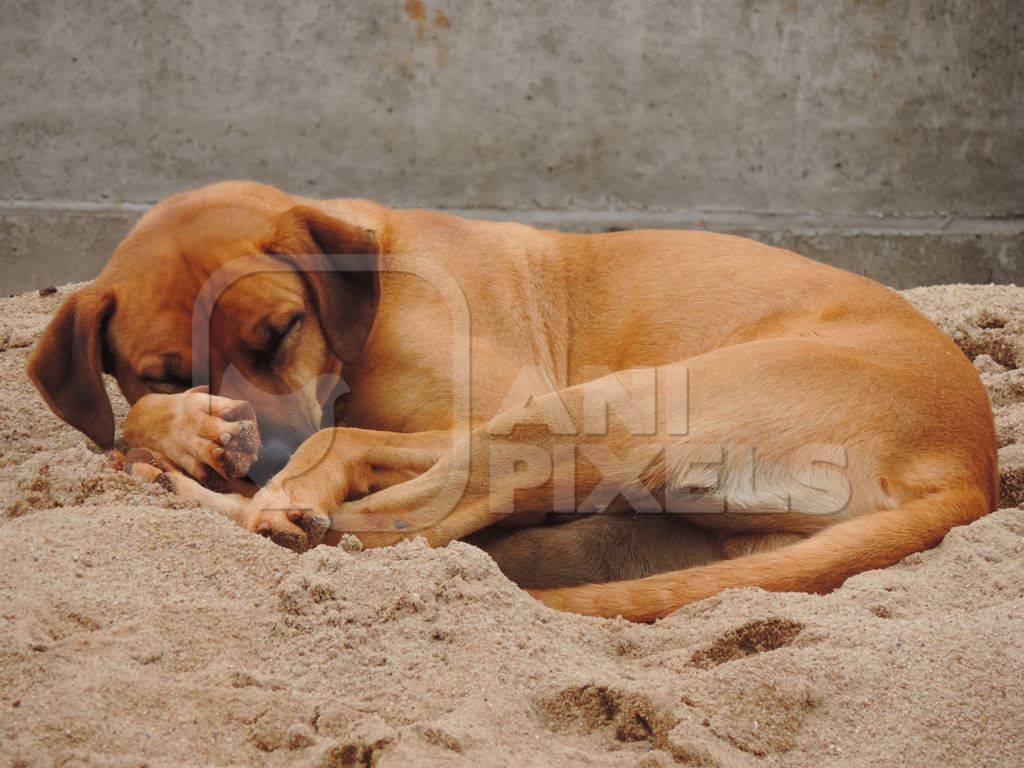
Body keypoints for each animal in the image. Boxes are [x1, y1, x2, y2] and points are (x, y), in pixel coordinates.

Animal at [28, 182, 995, 626]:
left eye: (283, 330)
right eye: (163, 371)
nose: (258, 458)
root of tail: (973, 468)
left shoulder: (505, 400)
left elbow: (343, 437)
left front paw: (254, 470)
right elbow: (136, 413)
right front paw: (181, 427)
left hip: (595, 411)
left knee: (388, 524)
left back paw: (256, 501)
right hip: (675, 526)